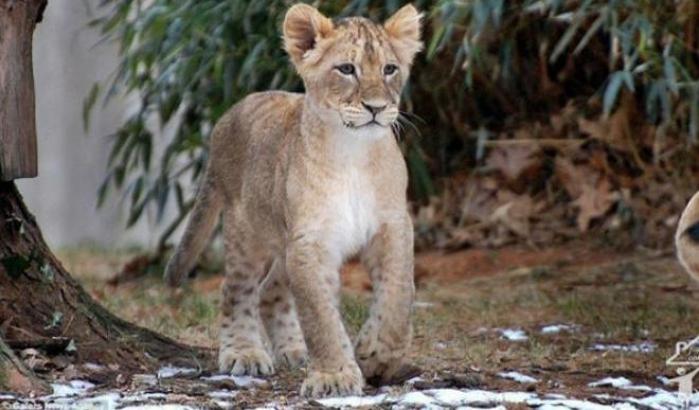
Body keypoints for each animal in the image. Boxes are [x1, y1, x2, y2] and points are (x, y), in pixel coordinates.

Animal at [163, 3, 423, 397]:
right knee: (236, 290)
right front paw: (334, 375)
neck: (353, 154)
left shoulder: (393, 225)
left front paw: (377, 354)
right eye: (347, 69)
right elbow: (320, 316)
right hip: (247, 232)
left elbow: (398, 293)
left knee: (270, 291)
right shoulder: (310, 241)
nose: (377, 107)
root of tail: (226, 117)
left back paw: (293, 350)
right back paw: (244, 353)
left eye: (390, 69)